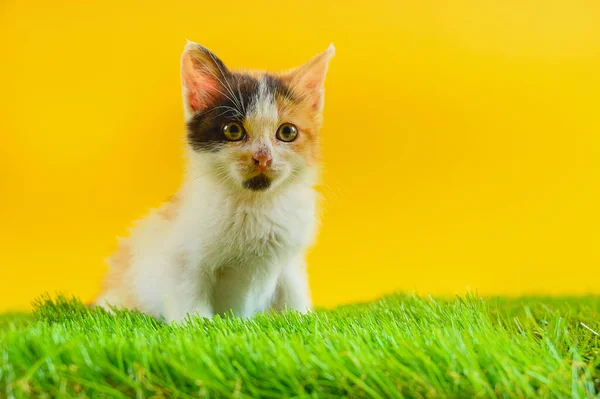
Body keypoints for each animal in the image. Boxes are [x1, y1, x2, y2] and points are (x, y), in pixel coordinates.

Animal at [96, 41, 336, 322]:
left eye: (287, 132)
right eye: (233, 130)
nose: (263, 158)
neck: (253, 204)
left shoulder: (290, 260)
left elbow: (293, 293)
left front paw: (300, 316)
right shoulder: (181, 260)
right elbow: (191, 304)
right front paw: (198, 324)